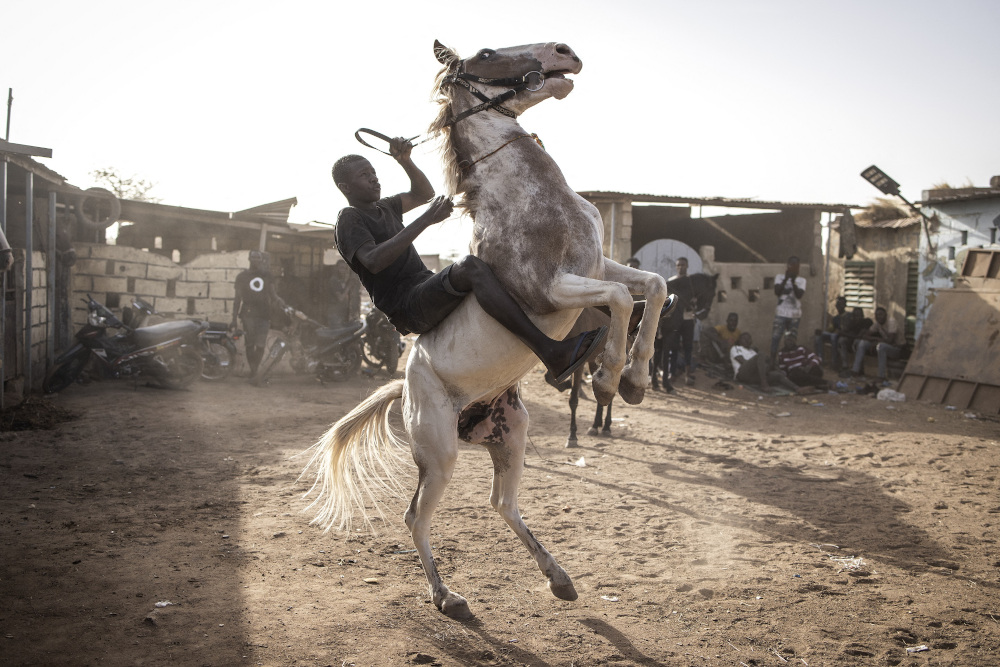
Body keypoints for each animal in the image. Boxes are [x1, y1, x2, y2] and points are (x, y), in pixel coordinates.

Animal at [301, 41, 669, 620]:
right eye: (489, 53)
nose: (566, 53)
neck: (531, 201)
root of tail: (403, 385)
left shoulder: (596, 265)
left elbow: (652, 286)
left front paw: (635, 381)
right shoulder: (548, 288)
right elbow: (615, 299)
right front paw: (609, 377)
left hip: (510, 432)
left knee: (502, 502)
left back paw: (559, 578)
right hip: (439, 455)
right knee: (415, 517)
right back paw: (447, 597)